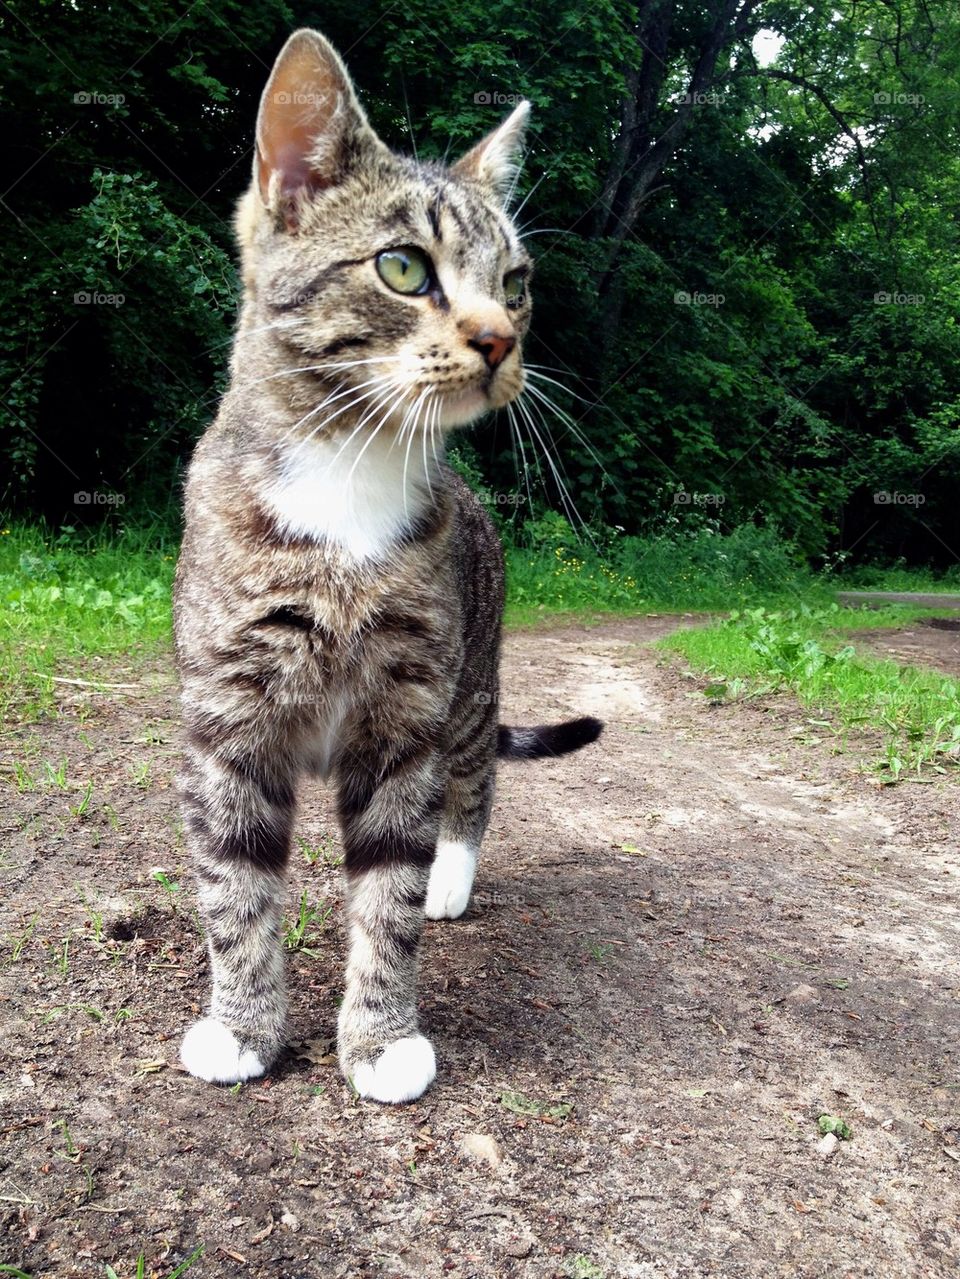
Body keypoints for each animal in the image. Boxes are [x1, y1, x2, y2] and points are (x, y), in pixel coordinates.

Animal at [175, 27, 600, 1110]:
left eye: (517, 281)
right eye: (404, 267)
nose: (500, 337)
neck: (349, 482)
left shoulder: (409, 712)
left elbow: (389, 890)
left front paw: (381, 1035)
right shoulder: (230, 717)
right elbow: (235, 885)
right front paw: (242, 1025)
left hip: (471, 678)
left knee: (474, 782)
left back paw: (455, 874)